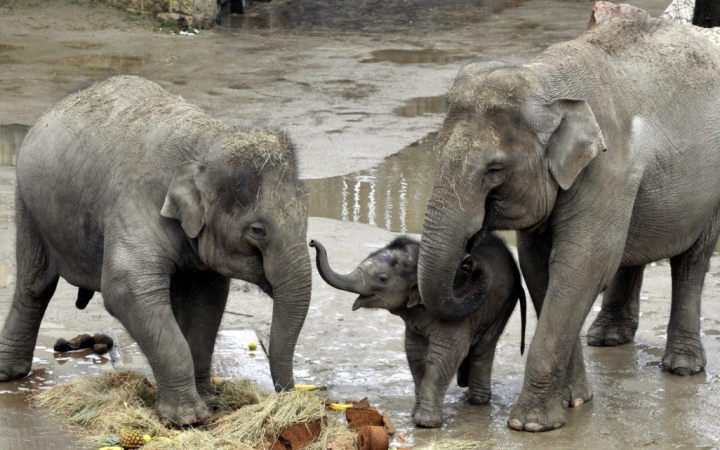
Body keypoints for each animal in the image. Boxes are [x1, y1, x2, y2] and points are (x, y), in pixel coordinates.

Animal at [0, 76, 312, 426]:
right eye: (257, 230)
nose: (289, 400)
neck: (208, 140)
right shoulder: (135, 200)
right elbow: (126, 289)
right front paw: (187, 418)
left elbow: (206, 301)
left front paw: (208, 402)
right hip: (28, 202)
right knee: (35, 285)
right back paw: (10, 375)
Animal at [308, 234, 524, 428]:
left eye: (382, 278)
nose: (311, 242)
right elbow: (415, 354)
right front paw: (415, 415)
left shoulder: (453, 316)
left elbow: (444, 355)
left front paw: (425, 423)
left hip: (503, 304)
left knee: (484, 347)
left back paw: (478, 400)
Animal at [416, 15, 720, 432]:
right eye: (435, 152)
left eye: (494, 170)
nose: (470, 259)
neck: (546, 79)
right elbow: (538, 267)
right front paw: (575, 400)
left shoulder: (606, 167)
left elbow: (582, 265)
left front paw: (530, 425)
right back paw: (607, 339)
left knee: (692, 259)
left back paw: (683, 367)